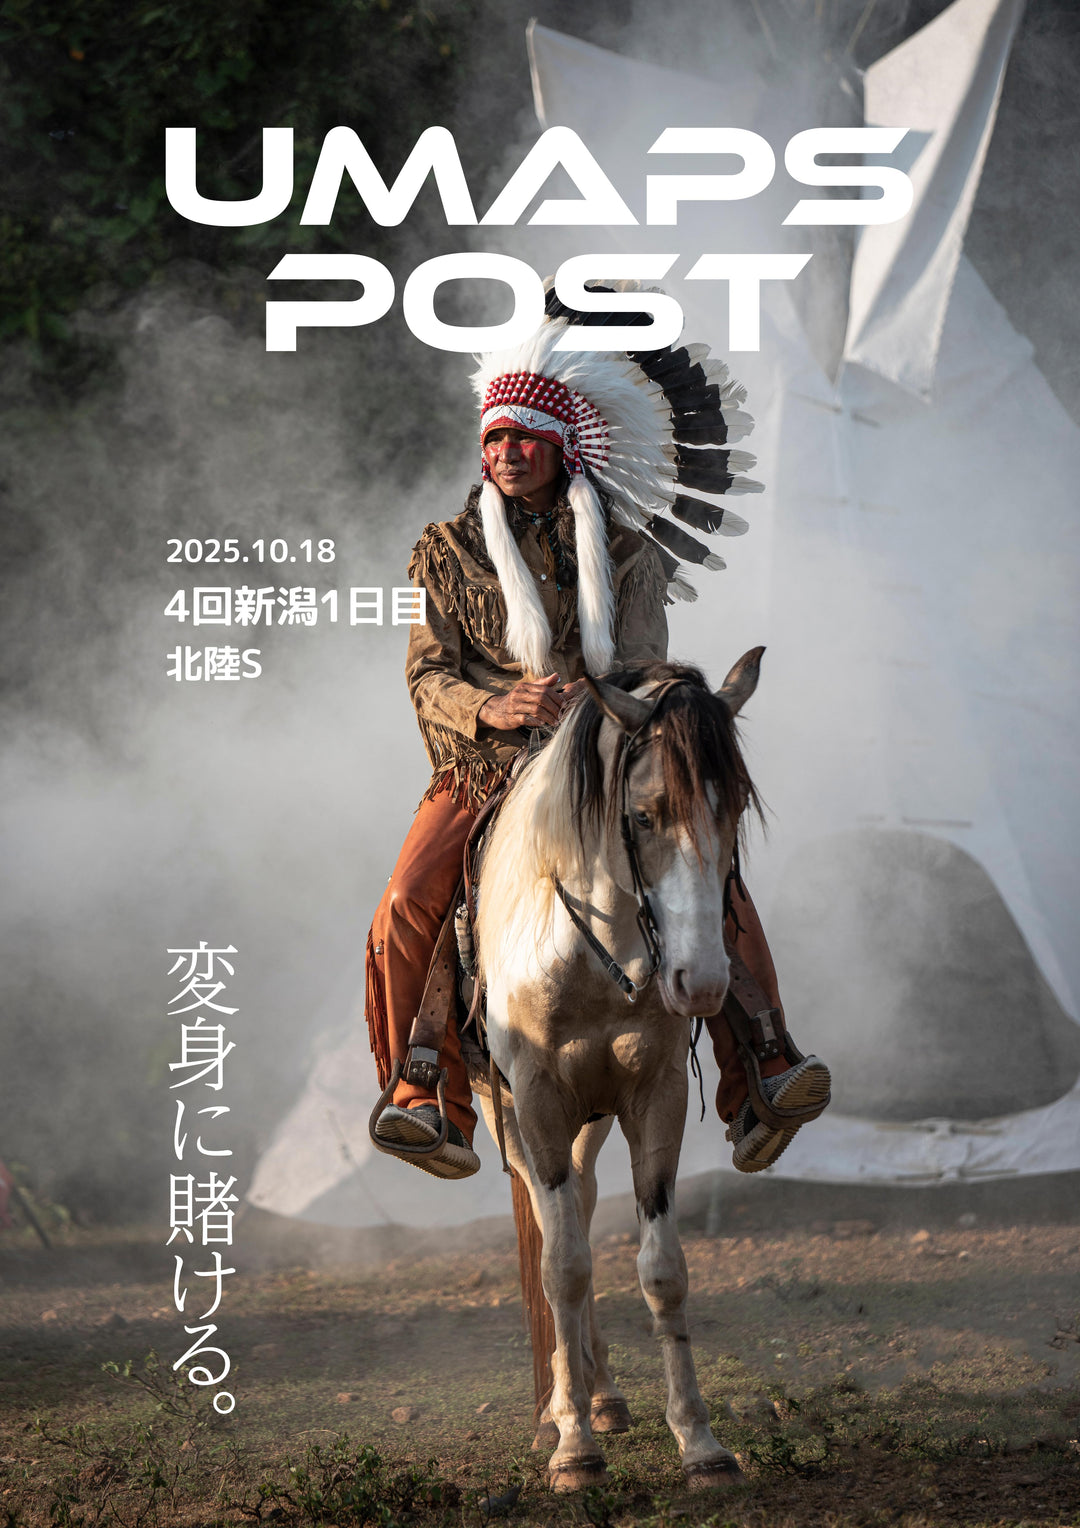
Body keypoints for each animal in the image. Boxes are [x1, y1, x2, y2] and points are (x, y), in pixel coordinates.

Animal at [472, 650, 763, 1492]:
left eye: (734, 809)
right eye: (642, 817)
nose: (701, 982)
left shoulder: (652, 1095)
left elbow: (660, 1267)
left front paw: (699, 1442)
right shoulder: (537, 1100)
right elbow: (564, 1266)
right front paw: (572, 1449)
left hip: (591, 1123)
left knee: (583, 1199)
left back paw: (599, 1394)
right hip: (511, 1115)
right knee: (552, 1227)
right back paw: (562, 1407)